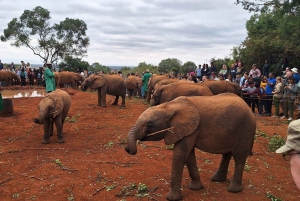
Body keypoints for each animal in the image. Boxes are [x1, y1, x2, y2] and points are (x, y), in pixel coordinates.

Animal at [125, 93, 255, 200]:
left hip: (245, 130)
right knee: (226, 155)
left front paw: (172, 198)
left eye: (150, 125)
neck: (168, 106)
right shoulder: (188, 130)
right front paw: (195, 188)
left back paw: (233, 190)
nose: (128, 149)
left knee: (239, 158)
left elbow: (180, 154)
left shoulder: (191, 128)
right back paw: (217, 179)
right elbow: (188, 155)